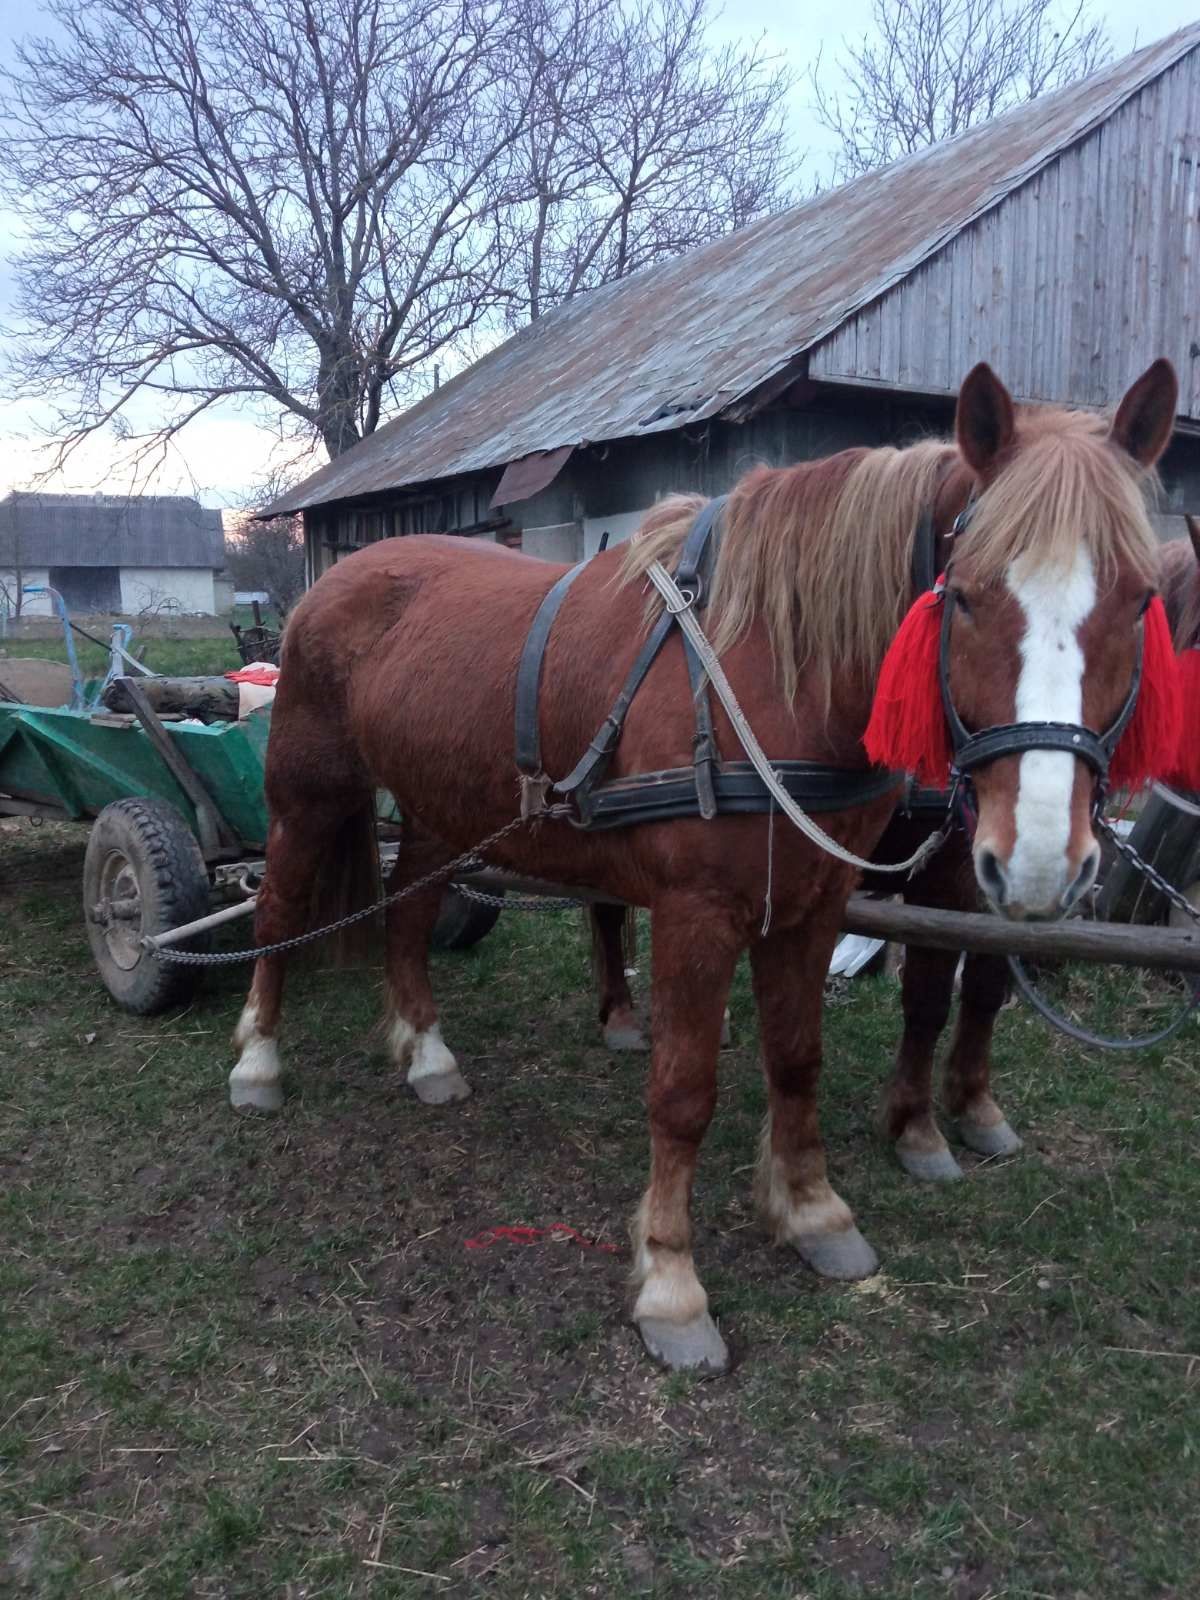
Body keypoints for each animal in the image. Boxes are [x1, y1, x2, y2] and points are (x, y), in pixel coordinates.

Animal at [230, 360, 1177, 1363]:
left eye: (1140, 600)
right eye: (963, 594)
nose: (1038, 860)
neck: (774, 671)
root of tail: (335, 579)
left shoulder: (811, 905)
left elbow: (797, 1057)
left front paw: (813, 1214)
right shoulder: (697, 915)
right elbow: (683, 1092)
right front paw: (672, 1284)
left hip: (441, 810)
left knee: (410, 915)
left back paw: (427, 1053)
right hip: (309, 796)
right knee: (278, 914)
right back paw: (258, 1063)